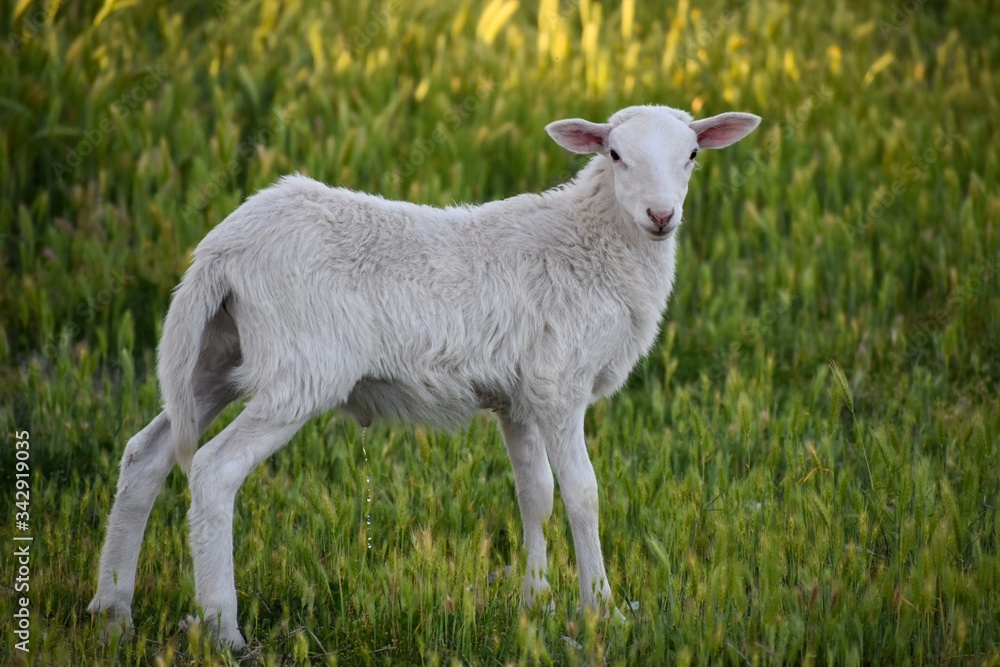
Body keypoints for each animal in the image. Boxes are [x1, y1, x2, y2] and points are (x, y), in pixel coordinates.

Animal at [89, 104, 760, 649]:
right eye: (616, 155)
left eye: (692, 155)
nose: (661, 215)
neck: (593, 245)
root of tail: (221, 249)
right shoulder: (559, 386)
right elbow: (582, 494)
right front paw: (602, 612)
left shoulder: (519, 397)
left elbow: (534, 494)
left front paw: (535, 605)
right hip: (300, 370)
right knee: (212, 470)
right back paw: (223, 630)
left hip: (216, 356)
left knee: (146, 455)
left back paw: (113, 612)